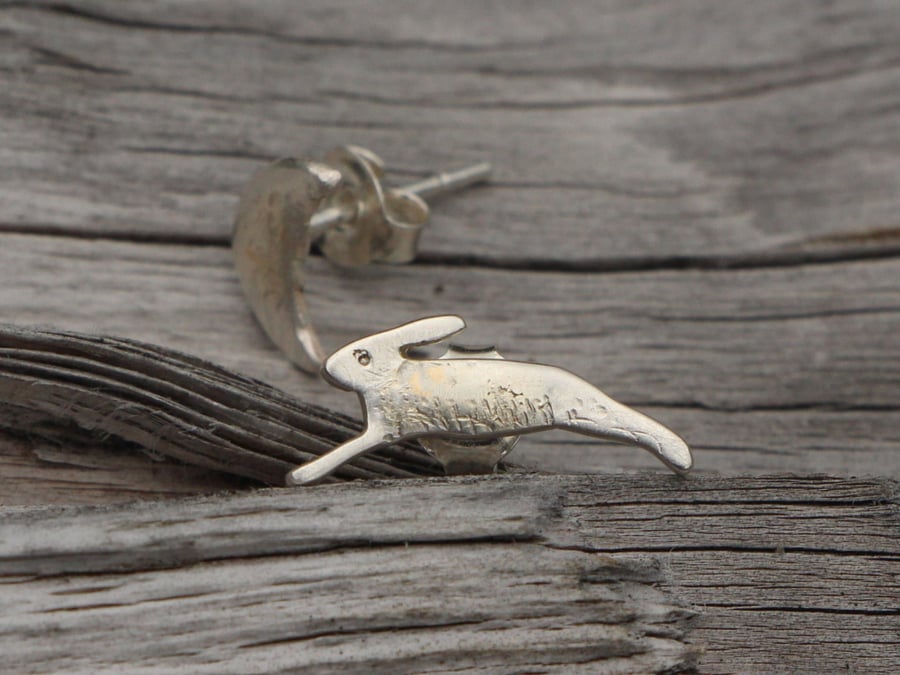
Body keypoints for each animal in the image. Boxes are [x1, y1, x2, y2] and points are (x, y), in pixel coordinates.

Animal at [286, 315, 693, 485]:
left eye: (362, 358)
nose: (328, 367)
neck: (393, 377)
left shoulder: (386, 429)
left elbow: (347, 450)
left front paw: (303, 474)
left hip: (590, 412)